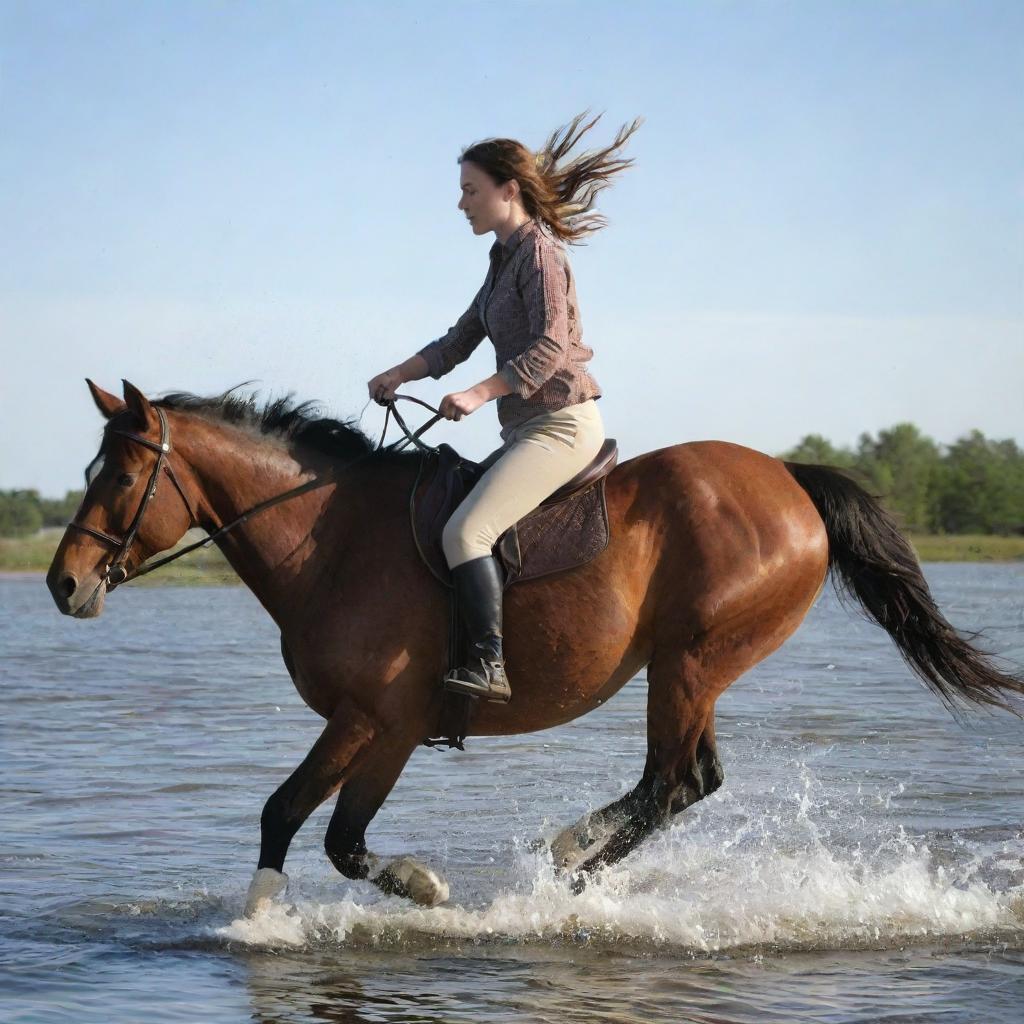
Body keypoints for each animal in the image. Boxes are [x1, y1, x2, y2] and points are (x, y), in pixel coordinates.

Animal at [48, 382, 1024, 913]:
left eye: (123, 477)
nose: (63, 583)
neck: (331, 541)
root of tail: (787, 477)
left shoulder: (377, 722)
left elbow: (312, 826)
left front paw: (388, 895)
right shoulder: (371, 726)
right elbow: (308, 825)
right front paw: (292, 910)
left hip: (691, 662)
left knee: (672, 781)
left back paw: (568, 872)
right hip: (693, 668)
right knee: (688, 782)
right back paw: (572, 856)